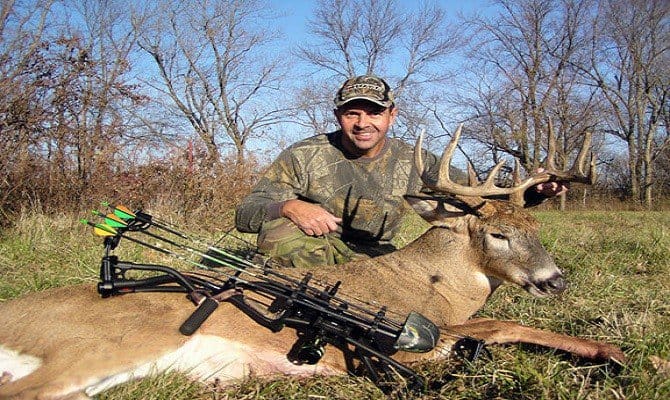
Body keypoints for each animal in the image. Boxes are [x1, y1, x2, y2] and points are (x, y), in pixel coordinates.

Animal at [0, 125, 625, 400]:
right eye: (498, 233)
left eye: (537, 229)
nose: (555, 280)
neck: (438, 283)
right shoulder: (420, 333)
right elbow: (500, 325)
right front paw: (613, 353)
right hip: (107, 342)